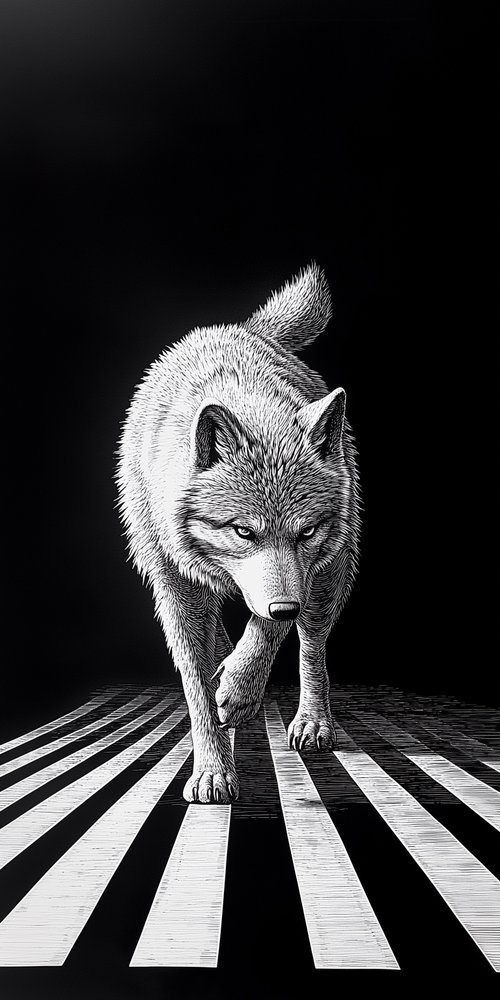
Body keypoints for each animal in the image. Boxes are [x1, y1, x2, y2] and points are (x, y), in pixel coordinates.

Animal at [117, 263, 361, 803]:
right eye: (242, 531)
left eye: (307, 531)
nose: (285, 606)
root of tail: (248, 328)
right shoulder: (174, 585)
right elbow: (195, 684)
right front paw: (212, 771)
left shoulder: (303, 573)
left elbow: (269, 630)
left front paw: (241, 689)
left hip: (331, 575)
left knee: (312, 643)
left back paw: (311, 721)